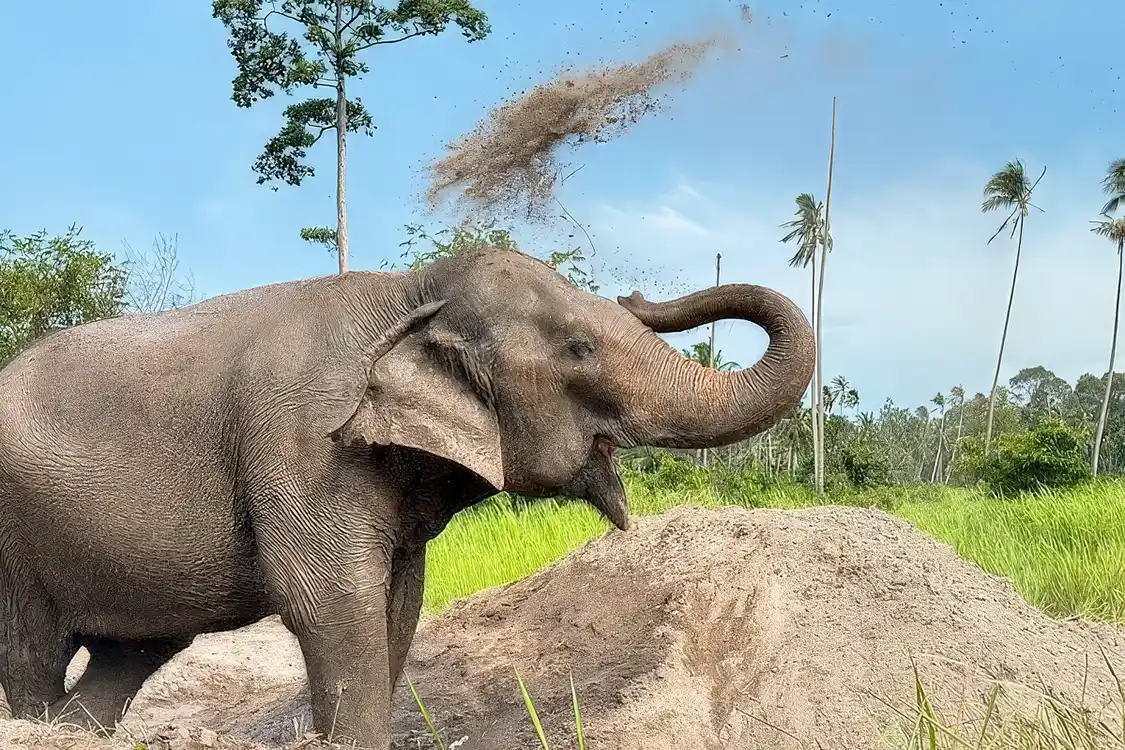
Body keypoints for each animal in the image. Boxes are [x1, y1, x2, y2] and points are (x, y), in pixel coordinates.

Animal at [0, 246, 814, 748]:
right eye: (580, 349)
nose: (636, 291)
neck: (411, 293)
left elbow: (399, 602)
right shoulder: (307, 447)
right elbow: (329, 602)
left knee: (129, 653)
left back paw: (71, 733)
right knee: (31, 653)